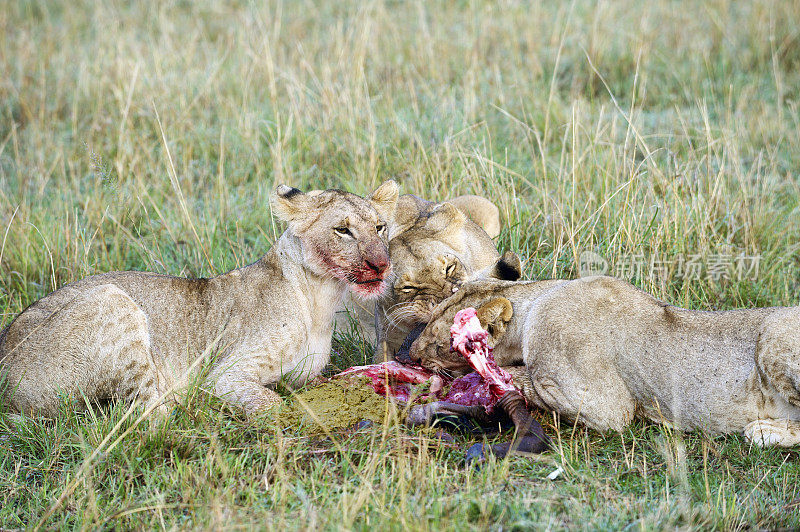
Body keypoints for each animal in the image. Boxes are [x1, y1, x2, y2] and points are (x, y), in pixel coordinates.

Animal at [410, 276, 800, 446]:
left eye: (442, 344)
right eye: (428, 321)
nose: (411, 354)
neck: (538, 298)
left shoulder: (606, 406)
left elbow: (520, 379)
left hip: (774, 337)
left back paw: (763, 431)